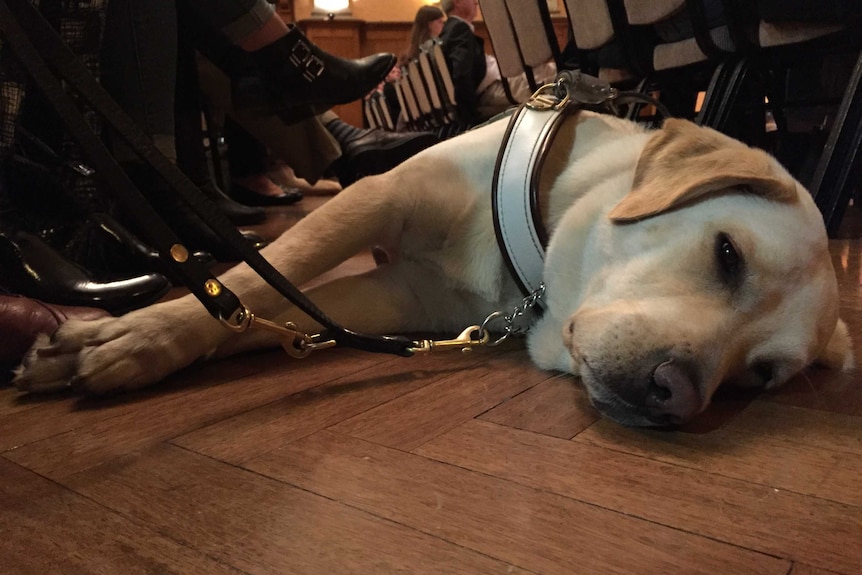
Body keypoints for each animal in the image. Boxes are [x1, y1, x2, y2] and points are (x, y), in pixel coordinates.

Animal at [13, 113, 856, 428]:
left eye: (760, 377)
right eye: (727, 253)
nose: (674, 393)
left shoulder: (395, 297)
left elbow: (275, 315)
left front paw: (105, 342)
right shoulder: (376, 199)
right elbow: (254, 278)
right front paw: (136, 336)